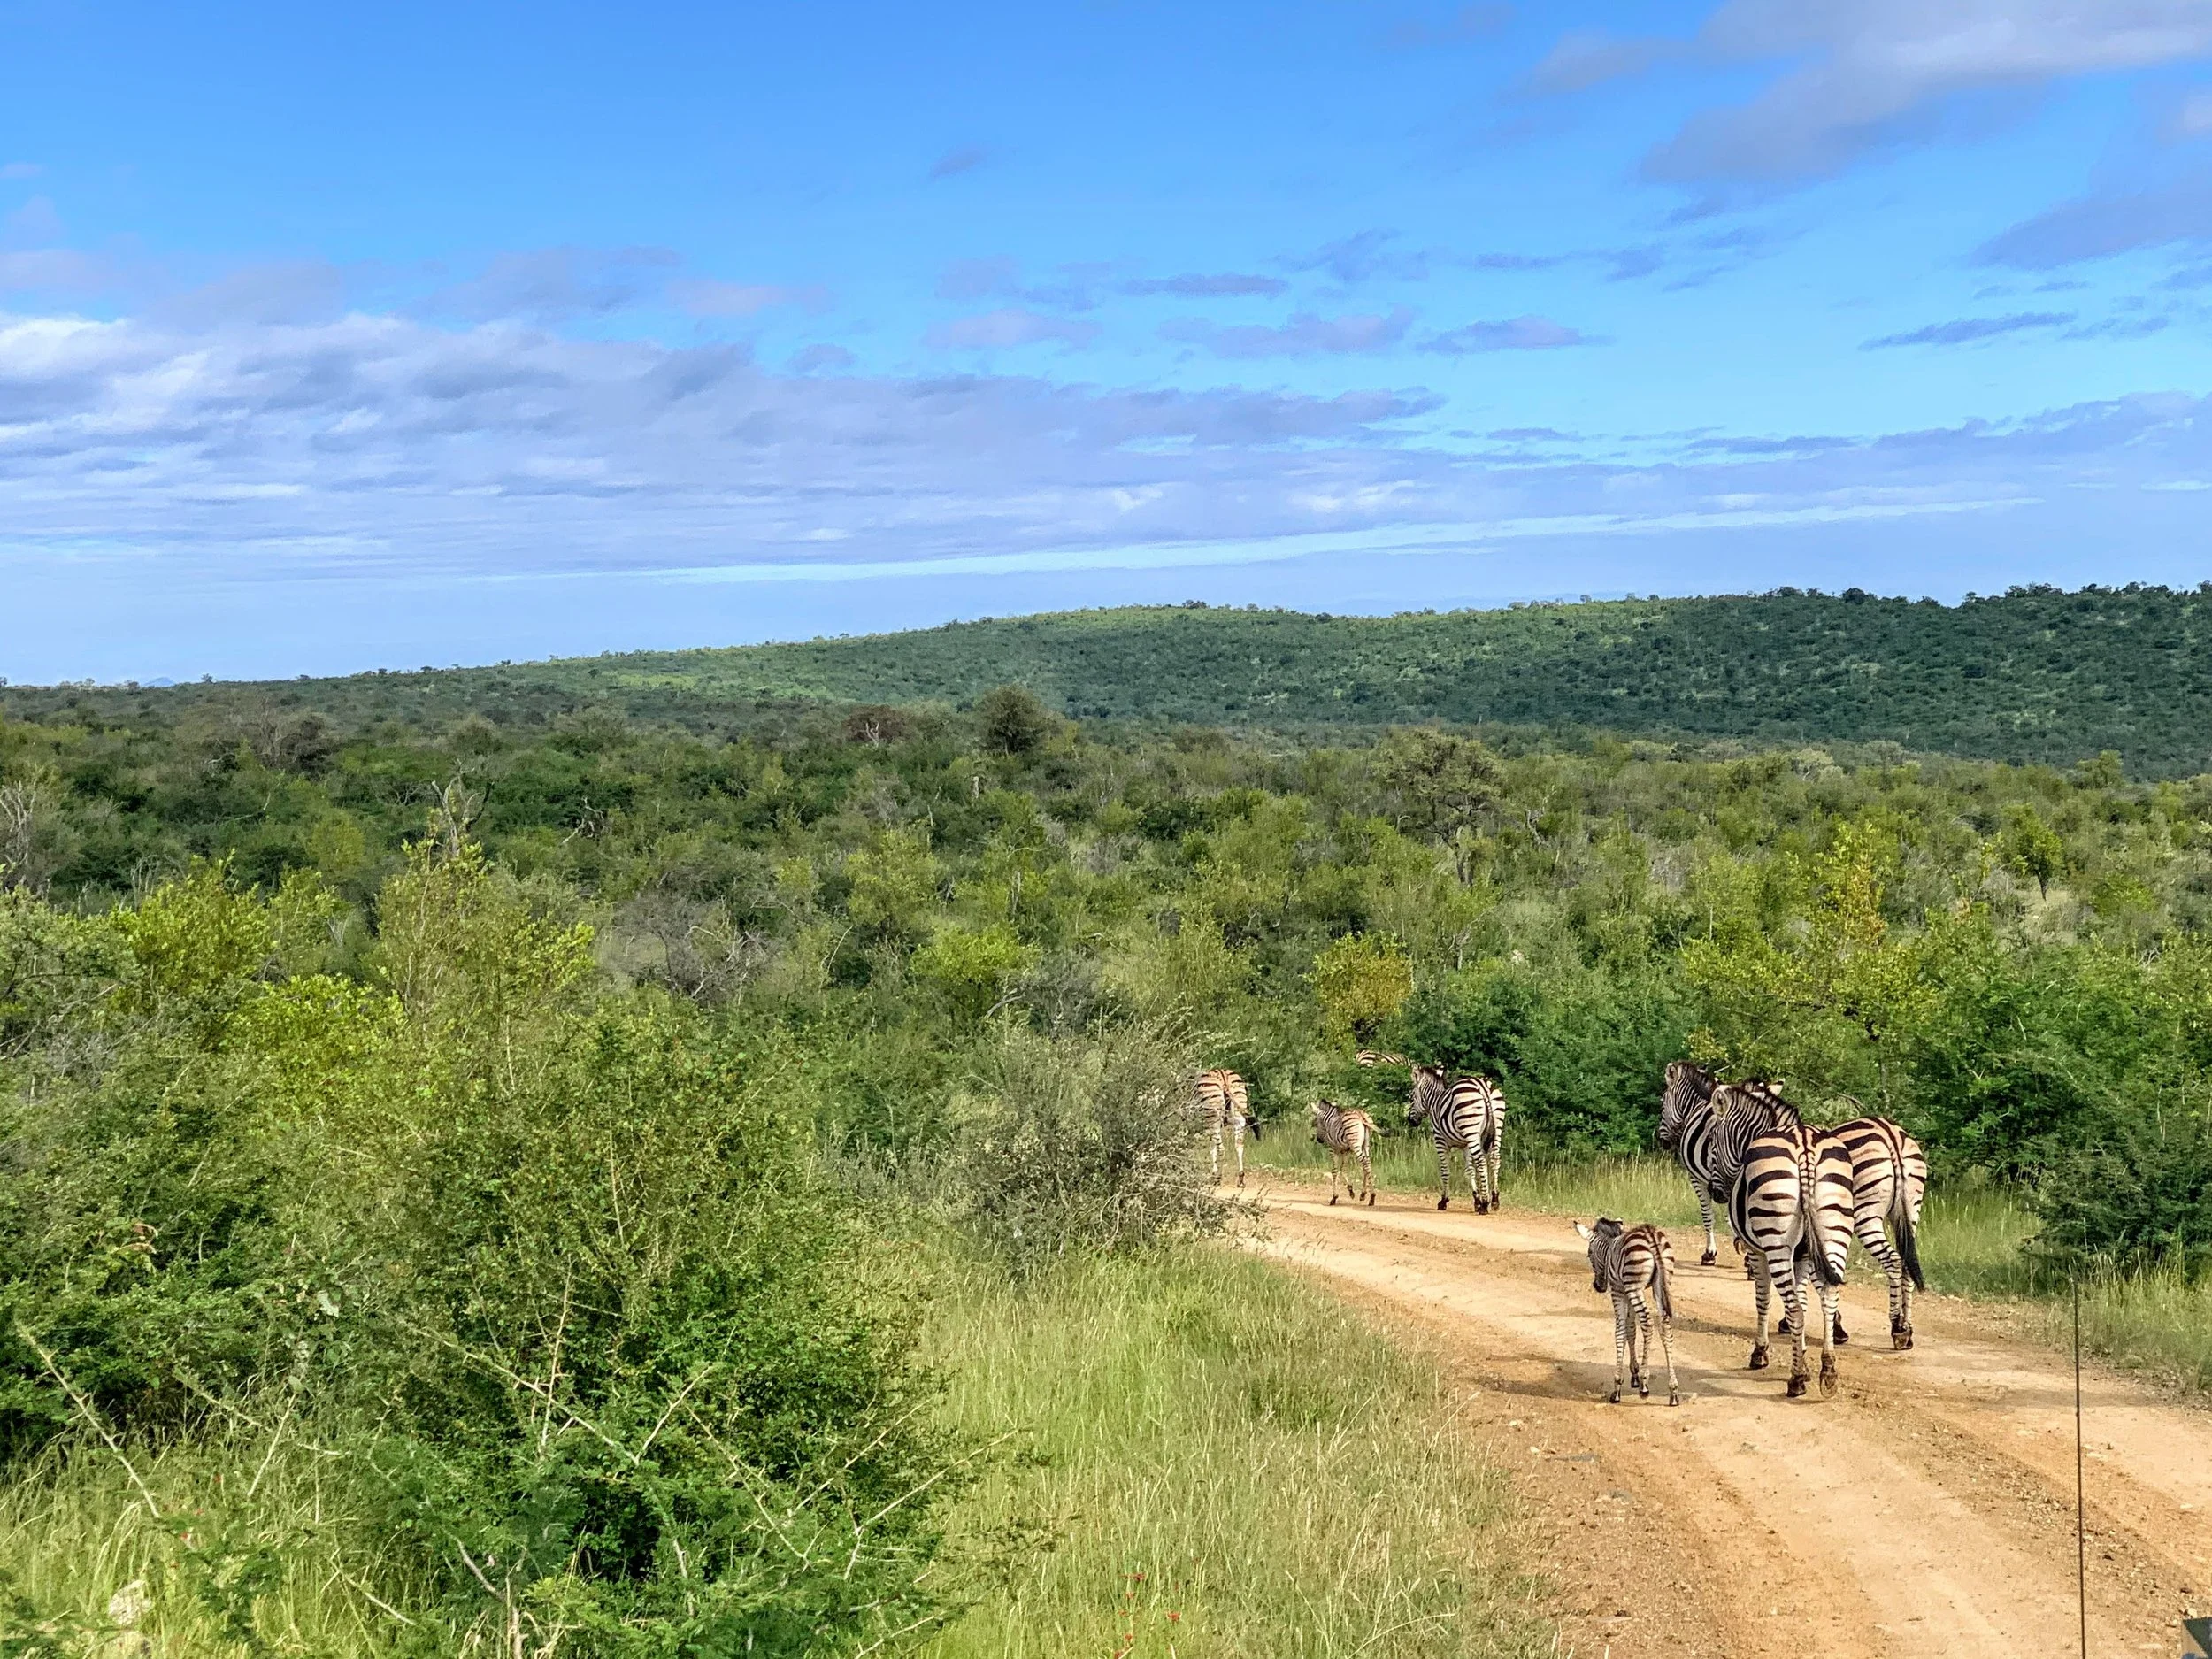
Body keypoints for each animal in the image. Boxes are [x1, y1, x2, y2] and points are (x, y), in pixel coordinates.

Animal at [1195, 1069, 1258, 1187]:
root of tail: (1223, 1076)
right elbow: (1212, 1148)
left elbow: (1212, 1148)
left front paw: (1214, 1174)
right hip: (1238, 1112)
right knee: (1239, 1144)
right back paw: (1241, 1177)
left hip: (1214, 1117)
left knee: (1221, 1149)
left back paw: (1219, 1177)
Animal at [1572, 1218, 1680, 1406]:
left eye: (1589, 1254)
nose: (1598, 1287)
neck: (1609, 1250)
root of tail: (1650, 1234)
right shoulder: (1625, 1291)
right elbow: (1631, 1329)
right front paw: (1634, 1374)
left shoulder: (1618, 1291)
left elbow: (1620, 1331)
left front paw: (1618, 1386)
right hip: (1661, 1284)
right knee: (1665, 1327)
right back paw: (1673, 1390)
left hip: (1635, 1286)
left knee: (1647, 1323)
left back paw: (1645, 1384)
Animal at [1728, 1115, 1855, 1398]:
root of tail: (1805, 1143)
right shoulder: (1803, 1256)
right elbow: (1804, 1302)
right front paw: (1805, 1362)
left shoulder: (1757, 1252)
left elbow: (1764, 1300)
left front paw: (1760, 1353)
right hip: (1835, 1228)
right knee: (1828, 1299)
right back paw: (1828, 1372)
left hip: (1776, 1238)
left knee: (1794, 1309)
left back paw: (1796, 1381)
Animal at [1827, 1108, 1929, 1348]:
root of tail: (1890, 1135)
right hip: (1911, 1211)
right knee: (1906, 1261)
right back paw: (1907, 1330)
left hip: (1866, 1215)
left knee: (1893, 1260)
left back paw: (1897, 1327)